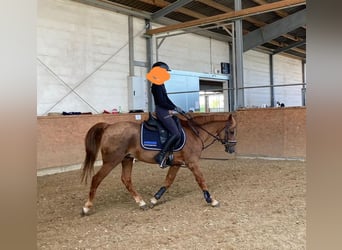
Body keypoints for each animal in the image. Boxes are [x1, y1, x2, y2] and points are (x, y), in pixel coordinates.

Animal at [80, 112, 236, 214]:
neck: (195, 133)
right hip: (111, 160)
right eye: (232, 131)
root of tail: (108, 126)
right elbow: (201, 180)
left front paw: (154, 199)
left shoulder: (176, 164)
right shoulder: (192, 163)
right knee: (96, 179)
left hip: (127, 159)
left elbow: (168, 181)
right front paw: (211, 200)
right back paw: (87, 207)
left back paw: (141, 203)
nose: (232, 149)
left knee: (126, 179)